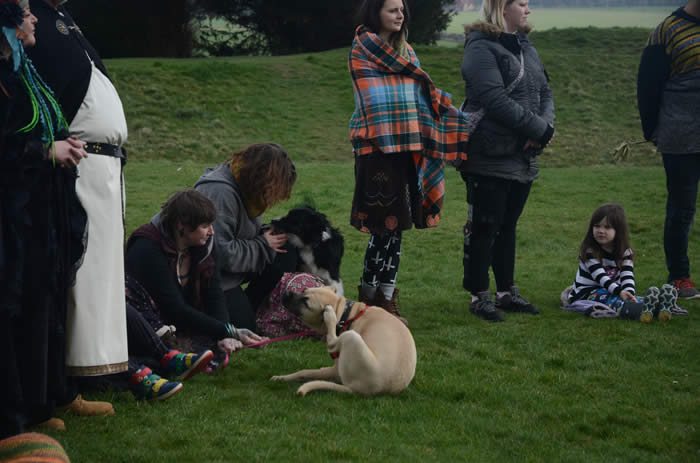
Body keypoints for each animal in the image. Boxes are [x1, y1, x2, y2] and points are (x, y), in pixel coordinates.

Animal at [270, 286, 416, 396]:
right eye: (304, 290)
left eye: (306, 302)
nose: (286, 292)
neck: (346, 314)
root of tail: (359, 389)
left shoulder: (335, 369)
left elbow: (304, 372)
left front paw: (282, 377)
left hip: (351, 337)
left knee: (331, 343)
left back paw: (330, 316)